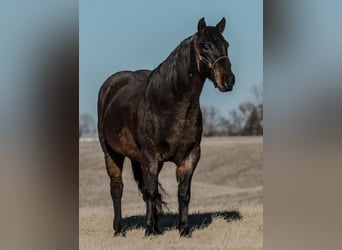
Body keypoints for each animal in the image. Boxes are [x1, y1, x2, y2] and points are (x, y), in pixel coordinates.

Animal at [97, 17, 234, 236]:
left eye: (226, 45)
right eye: (205, 46)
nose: (228, 80)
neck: (169, 104)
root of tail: (110, 86)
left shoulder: (190, 155)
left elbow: (183, 193)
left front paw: (183, 229)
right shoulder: (150, 155)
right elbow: (151, 192)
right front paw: (149, 232)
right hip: (111, 154)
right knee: (117, 188)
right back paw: (119, 230)